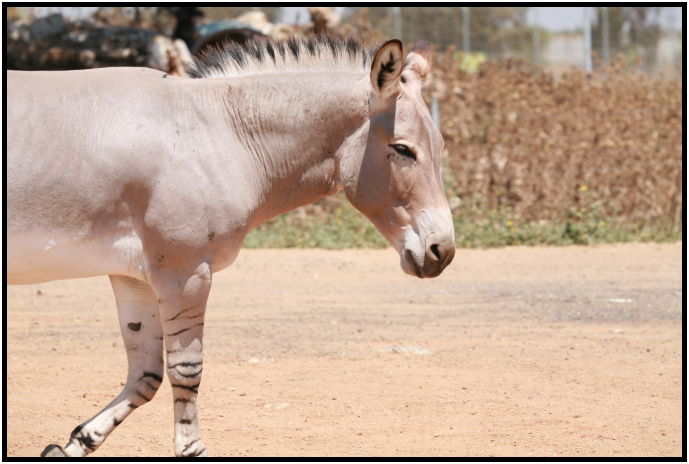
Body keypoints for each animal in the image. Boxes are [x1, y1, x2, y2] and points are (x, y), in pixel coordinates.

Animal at [7, 35, 455, 457]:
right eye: (402, 149)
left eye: (440, 148)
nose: (443, 252)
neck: (221, 136)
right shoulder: (184, 272)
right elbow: (186, 369)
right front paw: (191, 449)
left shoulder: (132, 276)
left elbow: (145, 375)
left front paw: (73, 443)